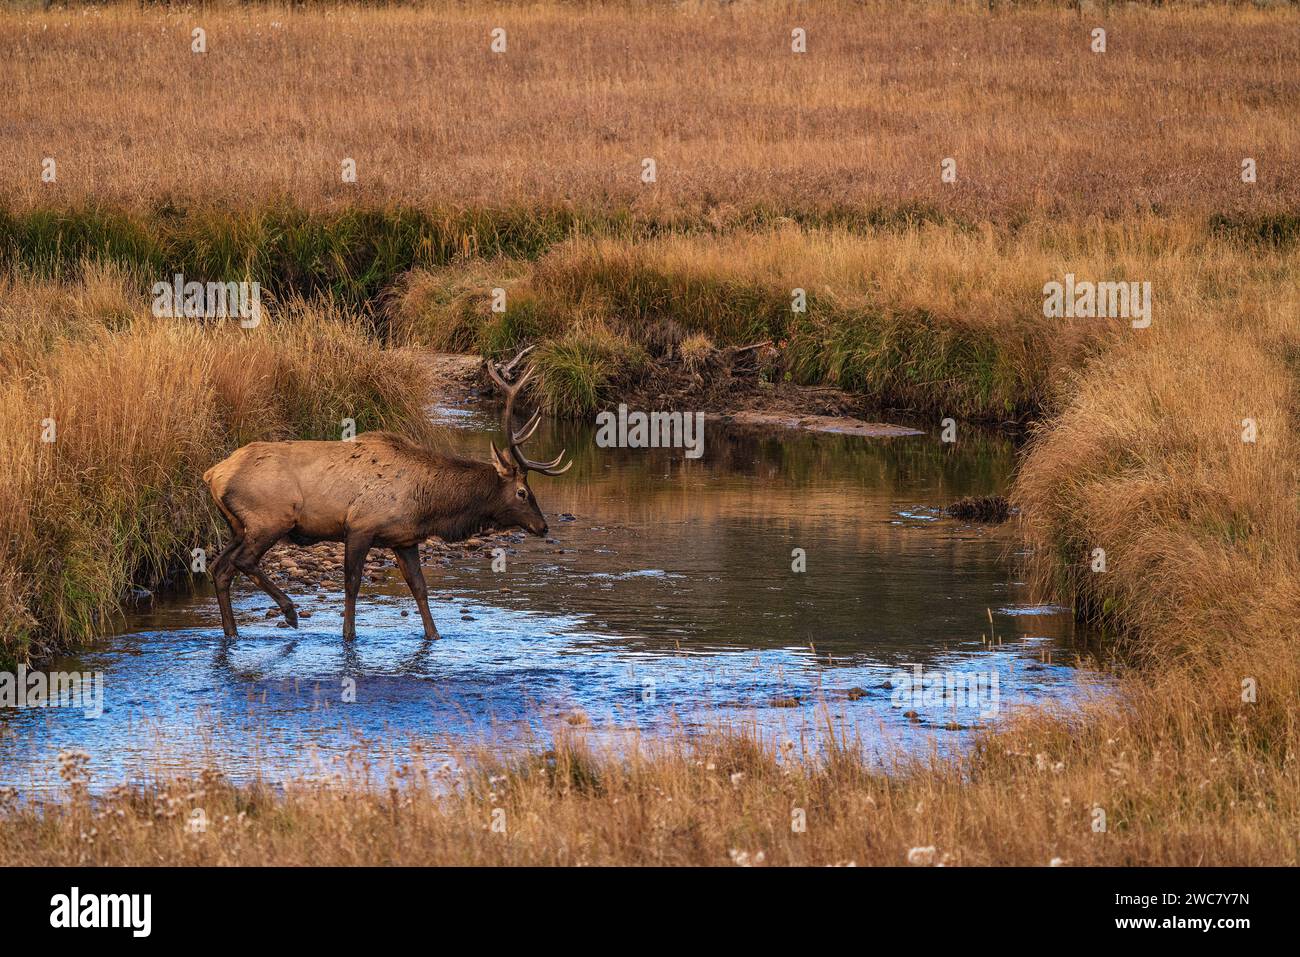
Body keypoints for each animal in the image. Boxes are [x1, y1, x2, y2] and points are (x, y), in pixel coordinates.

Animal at [202, 348, 569, 639]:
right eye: (522, 492)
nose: (543, 526)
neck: (428, 505)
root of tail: (213, 474)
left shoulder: (404, 539)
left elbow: (419, 588)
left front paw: (434, 636)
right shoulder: (360, 527)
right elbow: (352, 584)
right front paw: (348, 635)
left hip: (238, 526)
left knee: (220, 569)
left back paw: (232, 632)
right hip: (270, 518)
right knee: (242, 561)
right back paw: (290, 612)